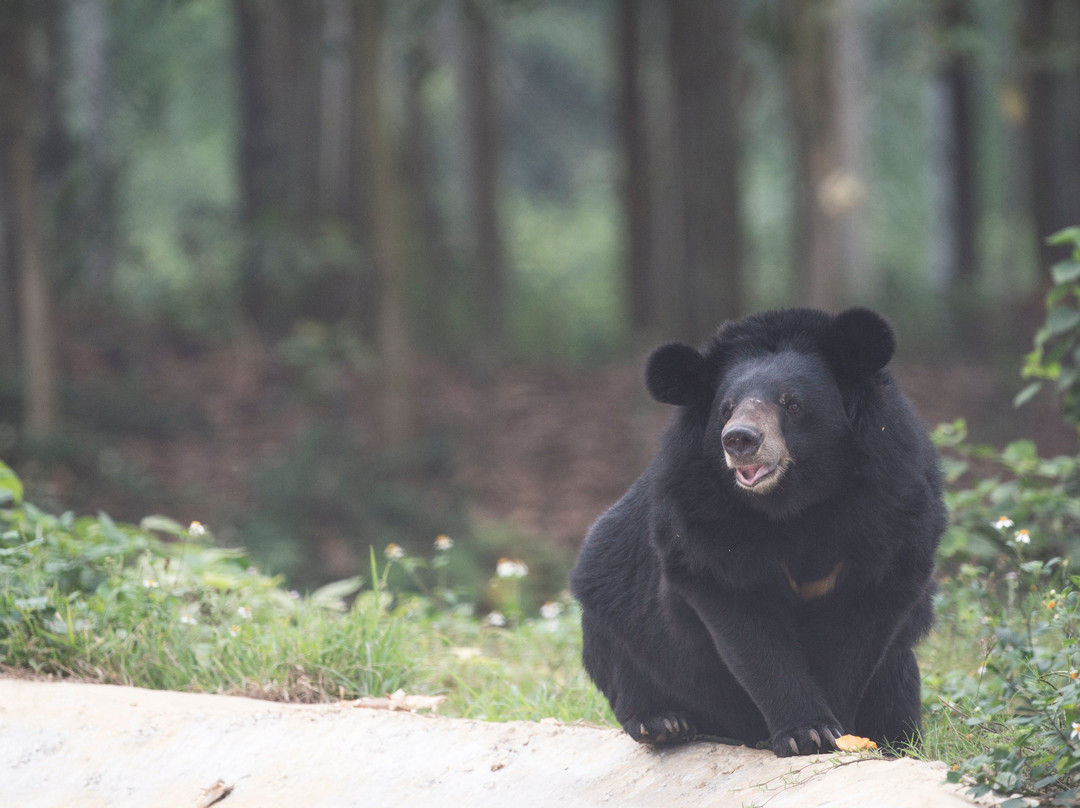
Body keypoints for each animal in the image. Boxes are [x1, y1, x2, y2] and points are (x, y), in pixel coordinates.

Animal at [574, 306, 946, 756]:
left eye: (792, 403)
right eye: (726, 408)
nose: (740, 440)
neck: (794, 501)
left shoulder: (891, 502)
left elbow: (863, 619)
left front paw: (842, 732)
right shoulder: (703, 517)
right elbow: (747, 625)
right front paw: (809, 732)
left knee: (896, 682)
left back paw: (897, 739)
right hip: (620, 615)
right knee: (621, 654)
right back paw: (663, 723)